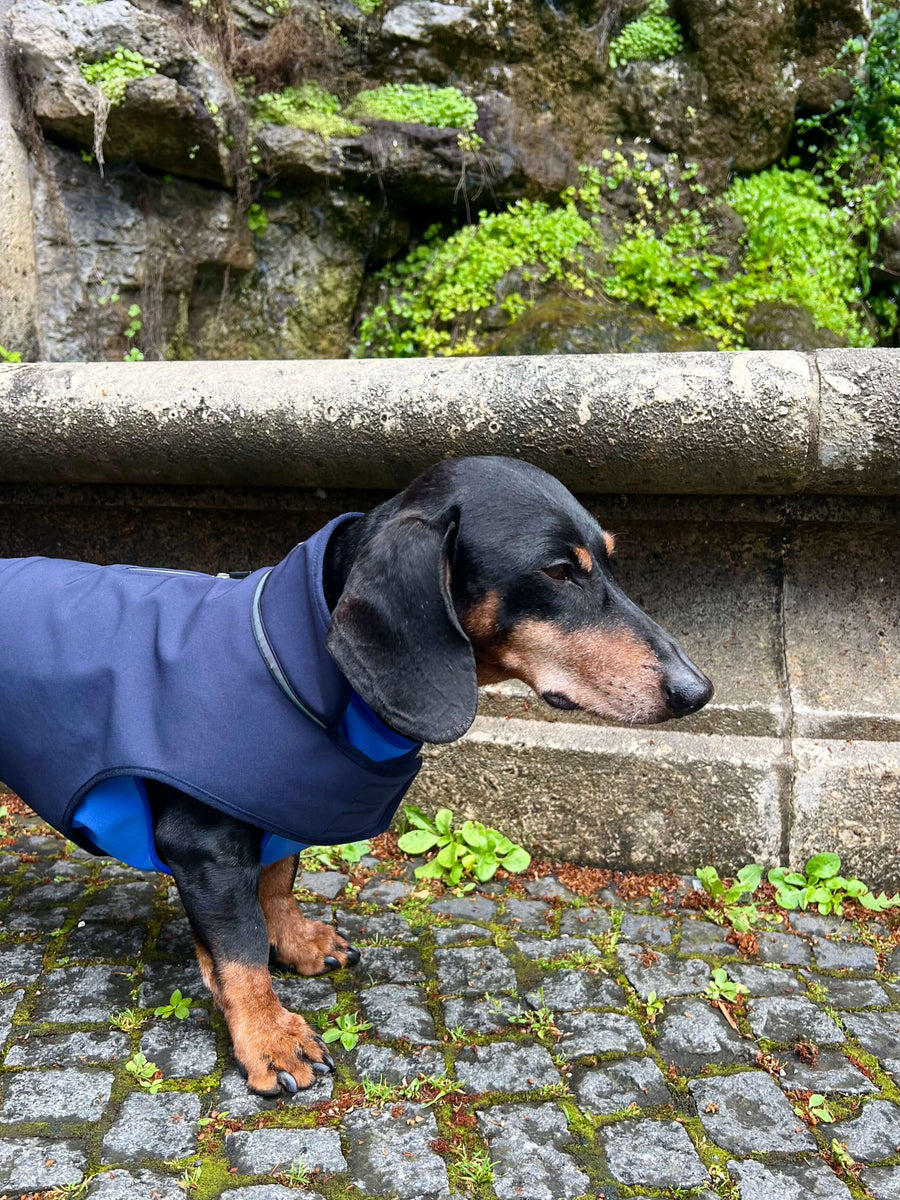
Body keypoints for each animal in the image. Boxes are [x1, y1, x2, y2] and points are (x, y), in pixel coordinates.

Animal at [3, 453, 715, 1094]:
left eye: (610, 560)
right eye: (559, 571)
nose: (698, 691)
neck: (297, 654)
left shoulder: (280, 810)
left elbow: (277, 881)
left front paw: (295, 943)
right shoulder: (203, 847)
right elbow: (239, 951)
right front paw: (269, 1038)